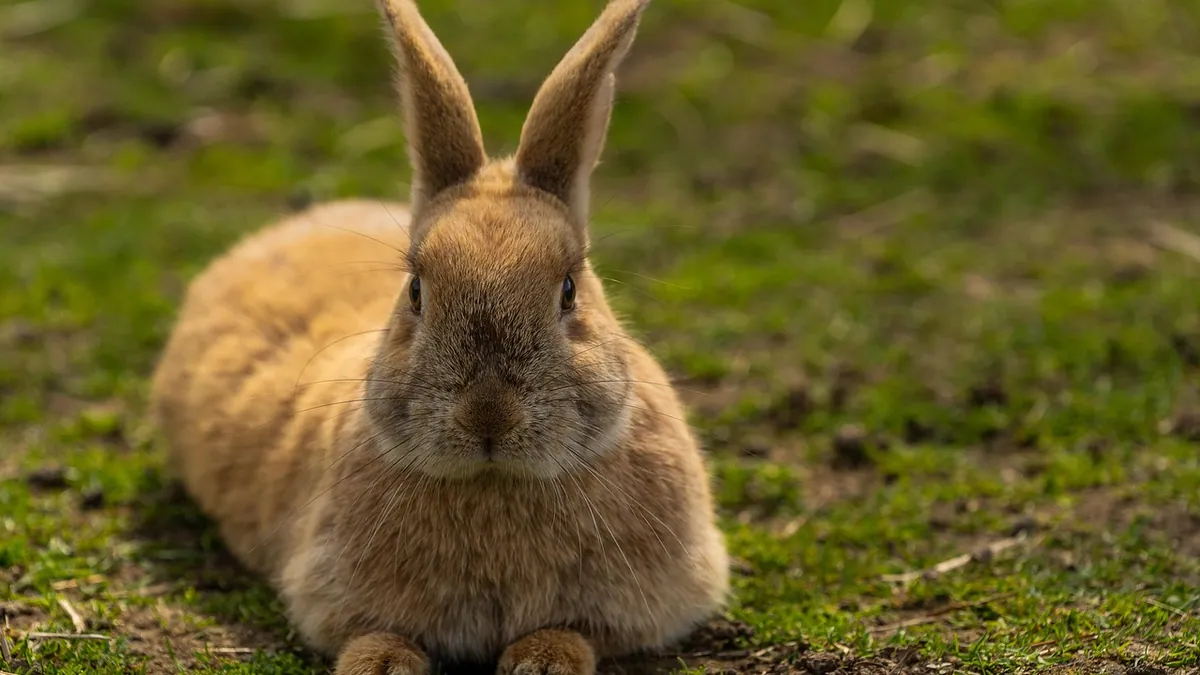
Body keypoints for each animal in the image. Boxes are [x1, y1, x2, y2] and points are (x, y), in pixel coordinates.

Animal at [148, 0, 730, 673]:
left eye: (568, 290)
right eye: (416, 292)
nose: (488, 415)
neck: (495, 483)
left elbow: (576, 630)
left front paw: (543, 661)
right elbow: (373, 633)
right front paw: (381, 666)